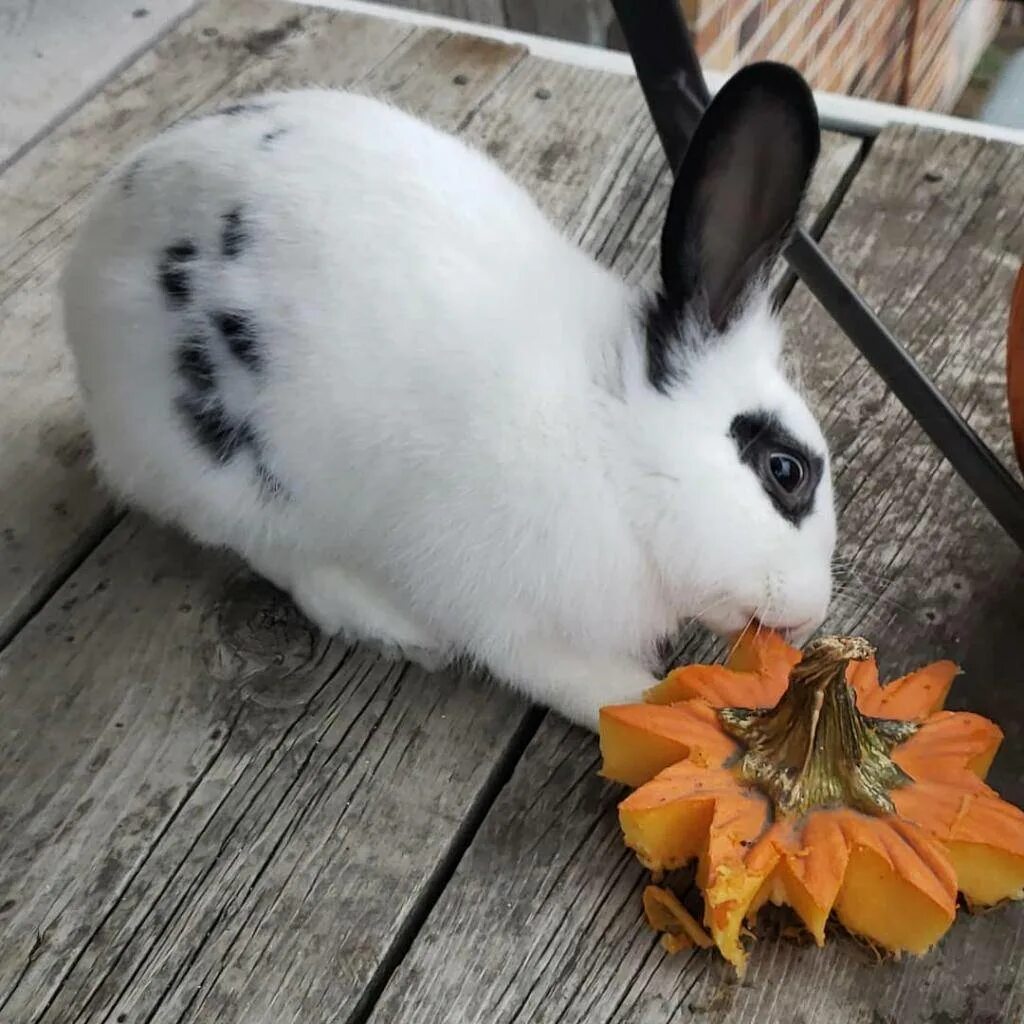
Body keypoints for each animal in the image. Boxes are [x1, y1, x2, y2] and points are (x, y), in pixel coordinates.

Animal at [61, 61, 831, 729]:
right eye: (785, 471)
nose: (812, 611)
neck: (614, 442)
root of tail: (90, 256)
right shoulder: (502, 602)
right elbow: (572, 680)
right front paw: (658, 706)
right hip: (232, 481)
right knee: (280, 557)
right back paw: (392, 626)